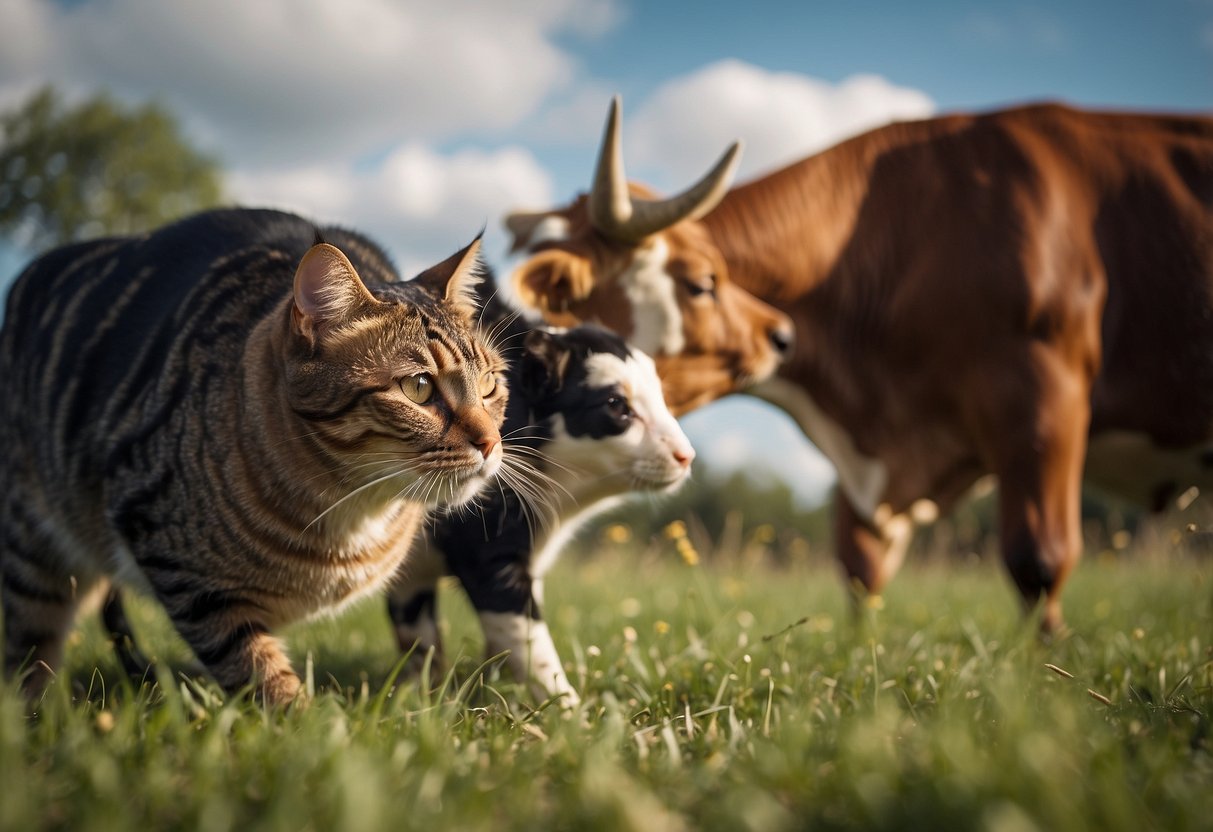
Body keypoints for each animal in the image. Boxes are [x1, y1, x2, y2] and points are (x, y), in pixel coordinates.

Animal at [0, 207, 507, 703]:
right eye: (418, 387)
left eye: (489, 384)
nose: (489, 442)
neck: (354, 510)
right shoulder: (179, 565)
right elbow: (253, 668)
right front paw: (302, 723)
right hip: (32, 557)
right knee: (26, 656)